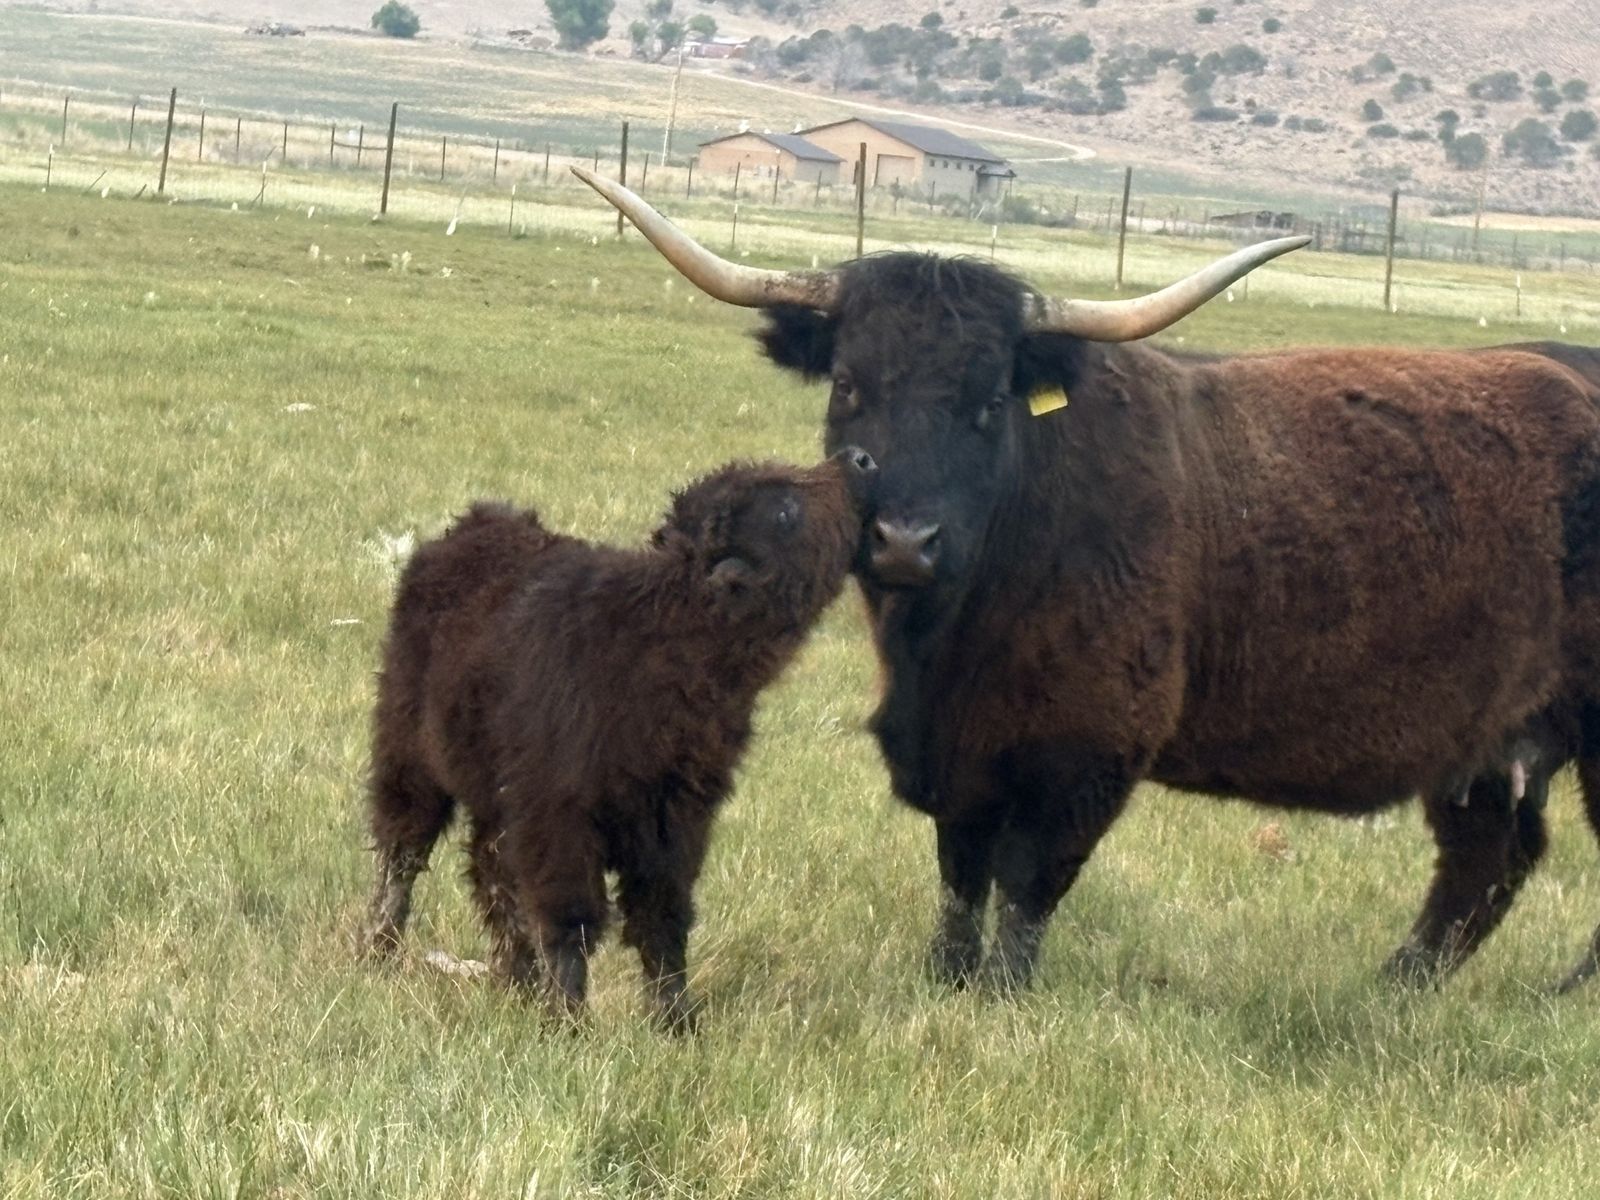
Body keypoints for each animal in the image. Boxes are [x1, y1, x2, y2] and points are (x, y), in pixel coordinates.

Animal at [361, 449, 878, 1027]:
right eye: (786, 510)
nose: (858, 459)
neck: (658, 634)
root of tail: (466, 529)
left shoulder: (674, 822)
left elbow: (661, 917)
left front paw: (677, 1021)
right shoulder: (559, 820)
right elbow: (571, 920)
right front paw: (569, 1022)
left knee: (488, 873)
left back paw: (516, 982)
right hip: (410, 758)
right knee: (403, 852)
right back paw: (379, 954)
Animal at [575, 166, 1600, 994]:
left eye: (990, 402)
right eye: (850, 386)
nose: (904, 541)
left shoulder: (1089, 753)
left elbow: (1028, 887)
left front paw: (1002, 996)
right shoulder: (959, 758)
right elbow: (960, 878)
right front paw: (947, 979)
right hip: (1491, 739)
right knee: (1487, 858)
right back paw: (1395, 987)